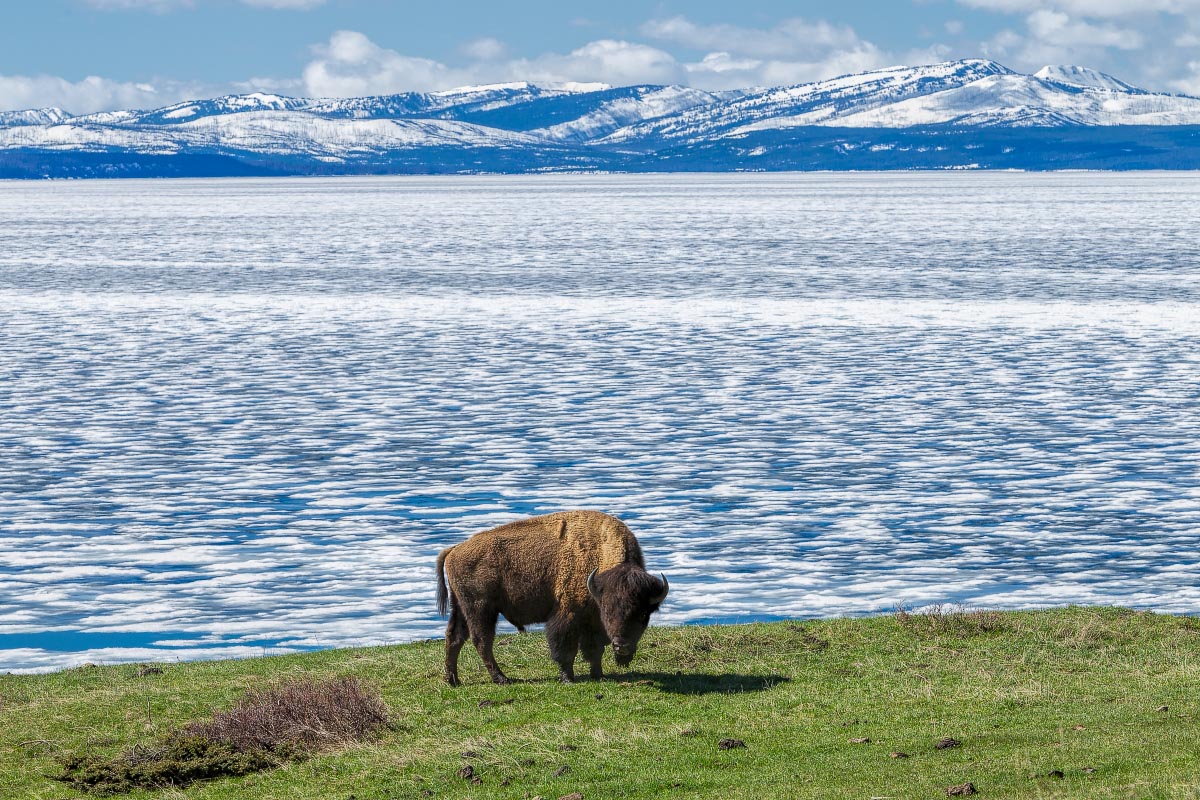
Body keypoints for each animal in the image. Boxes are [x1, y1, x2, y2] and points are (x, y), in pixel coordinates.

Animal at [436, 510, 672, 686]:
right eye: (608, 610)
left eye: (643, 614)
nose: (622, 646)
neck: (598, 553)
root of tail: (454, 550)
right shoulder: (568, 614)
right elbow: (565, 648)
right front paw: (568, 678)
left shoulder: (592, 623)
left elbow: (594, 649)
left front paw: (599, 675)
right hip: (481, 609)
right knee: (482, 641)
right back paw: (502, 679)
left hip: (461, 607)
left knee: (454, 637)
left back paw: (453, 680)